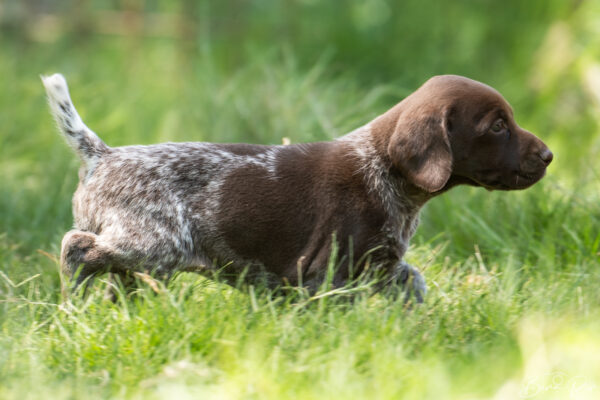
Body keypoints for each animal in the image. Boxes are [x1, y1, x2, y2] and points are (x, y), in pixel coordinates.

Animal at [42, 73, 552, 302]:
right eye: (497, 126)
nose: (549, 155)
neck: (385, 172)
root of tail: (102, 154)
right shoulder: (325, 273)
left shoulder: (380, 263)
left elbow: (413, 280)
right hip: (156, 244)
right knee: (76, 246)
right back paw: (71, 301)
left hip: (150, 262)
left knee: (115, 277)